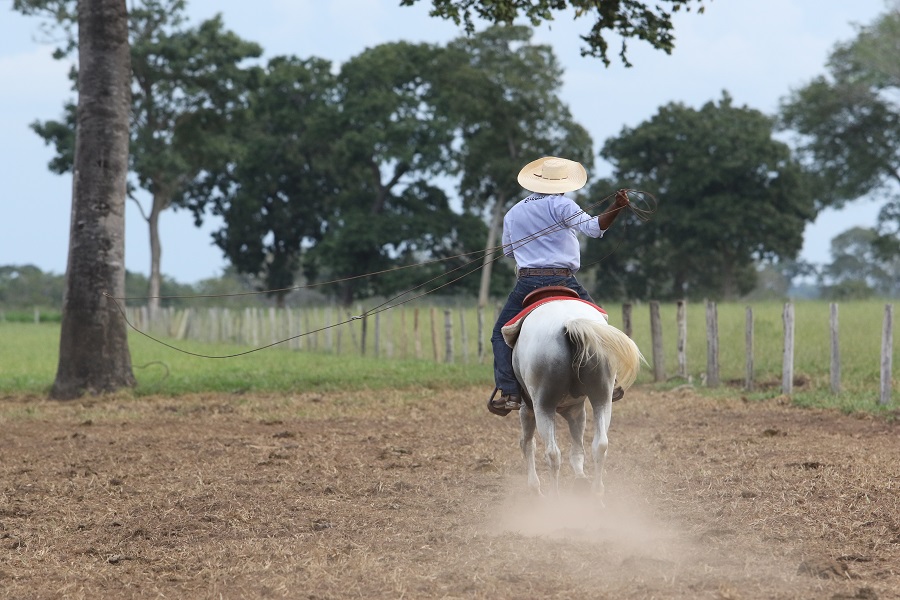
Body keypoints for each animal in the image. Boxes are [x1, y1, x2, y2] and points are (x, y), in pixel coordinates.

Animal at [510, 298, 644, 500]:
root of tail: (569, 323)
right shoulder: (576, 411)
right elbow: (578, 450)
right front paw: (580, 480)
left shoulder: (528, 409)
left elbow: (527, 444)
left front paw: (535, 488)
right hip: (602, 400)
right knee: (600, 445)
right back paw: (597, 494)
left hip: (543, 407)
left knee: (552, 453)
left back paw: (555, 498)